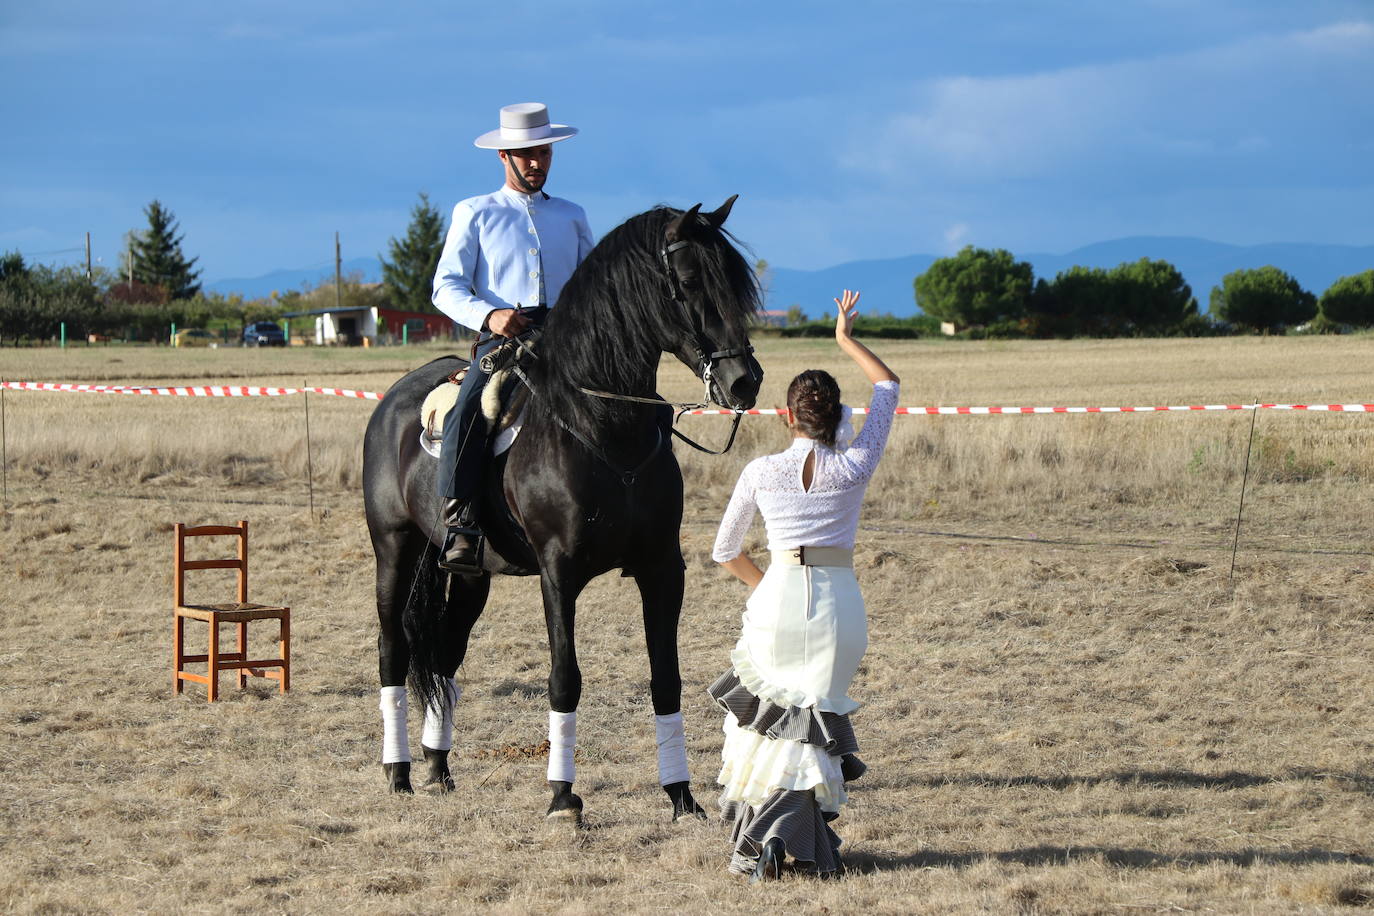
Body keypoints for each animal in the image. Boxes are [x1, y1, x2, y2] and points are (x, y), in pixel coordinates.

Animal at [362, 195, 763, 823]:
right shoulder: (559, 573)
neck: (602, 425)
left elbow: (666, 678)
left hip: (471, 572)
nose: (744, 381)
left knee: (447, 652)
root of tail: (393, 401)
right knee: (392, 650)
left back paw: (437, 767)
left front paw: (681, 796)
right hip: (394, 550)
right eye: (690, 281)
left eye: (735, 280)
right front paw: (562, 797)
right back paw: (399, 771)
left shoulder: (661, 568)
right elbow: (564, 678)